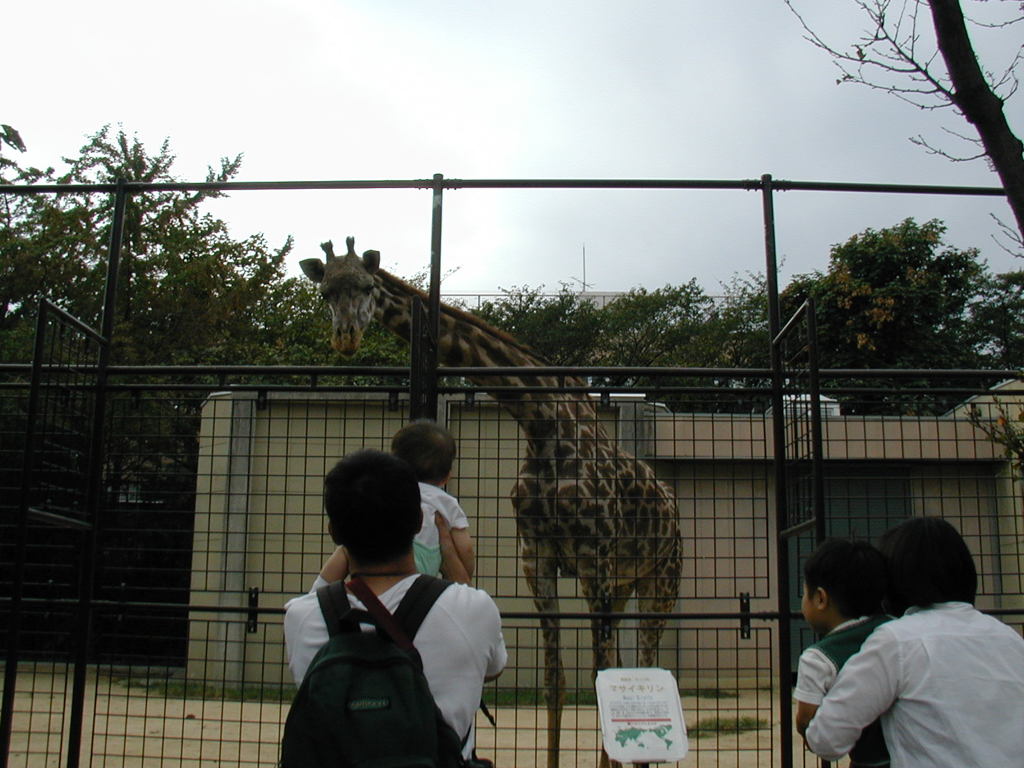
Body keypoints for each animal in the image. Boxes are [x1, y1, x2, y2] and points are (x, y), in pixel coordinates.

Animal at [299, 237, 679, 765]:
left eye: (366, 287)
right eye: (326, 293)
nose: (346, 338)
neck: (542, 424)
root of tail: (670, 504)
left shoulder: (594, 558)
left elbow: (601, 679)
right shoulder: (537, 558)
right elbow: (556, 682)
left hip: (660, 578)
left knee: (645, 663)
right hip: (625, 584)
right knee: (625, 665)